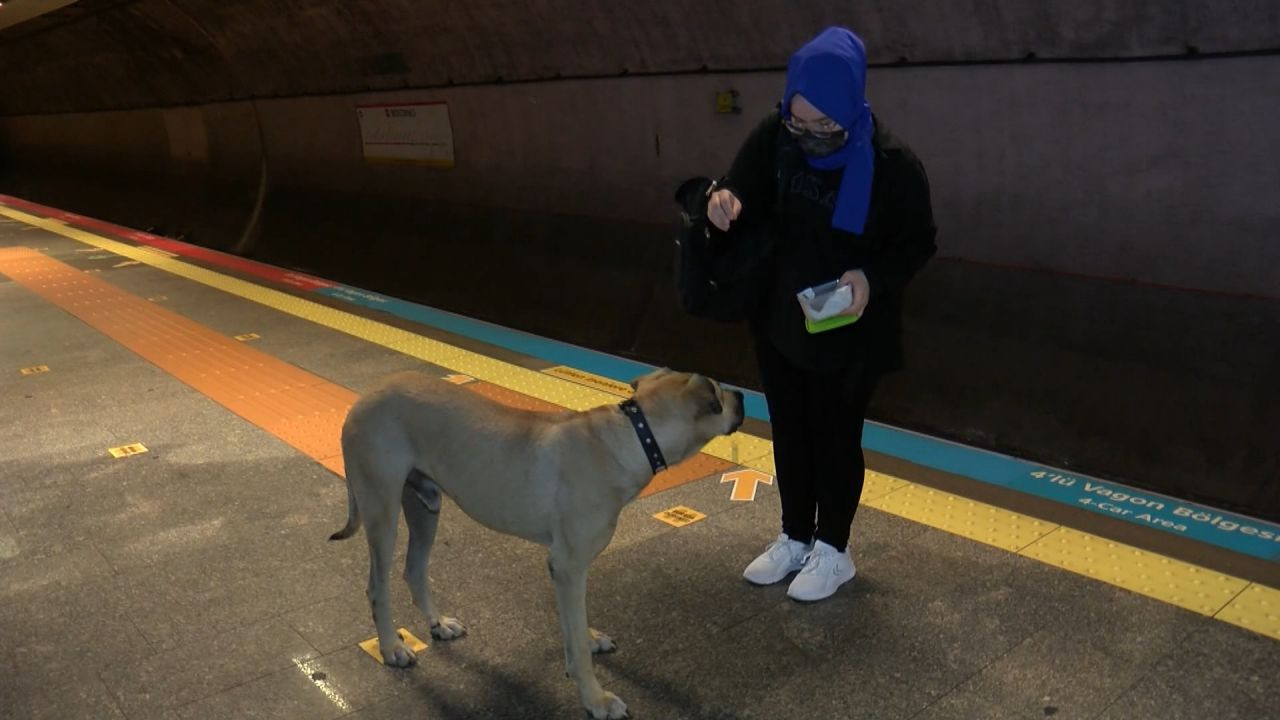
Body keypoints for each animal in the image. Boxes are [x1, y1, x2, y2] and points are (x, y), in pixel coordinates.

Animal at [330, 366, 747, 712]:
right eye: (720, 390)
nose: (743, 395)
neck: (630, 437)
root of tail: (365, 397)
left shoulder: (564, 569)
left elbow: (573, 625)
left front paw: (587, 643)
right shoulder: (568, 565)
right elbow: (576, 642)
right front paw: (595, 699)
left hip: (423, 506)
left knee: (414, 570)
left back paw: (438, 624)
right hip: (382, 510)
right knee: (377, 587)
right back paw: (392, 647)